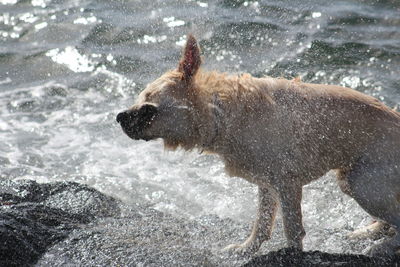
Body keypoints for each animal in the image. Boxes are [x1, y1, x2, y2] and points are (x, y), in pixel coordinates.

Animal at [117, 35, 400, 258]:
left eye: (148, 109)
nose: (118, 117)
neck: (221, 110)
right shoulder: (267, 183)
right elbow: (262, 223)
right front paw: (246, 249)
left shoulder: (286, 183)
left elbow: (291, 228)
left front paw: (292, 254)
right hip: (353, 180)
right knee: (390, 219)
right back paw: (369, 233)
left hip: (363, 181)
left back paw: (380, 248)